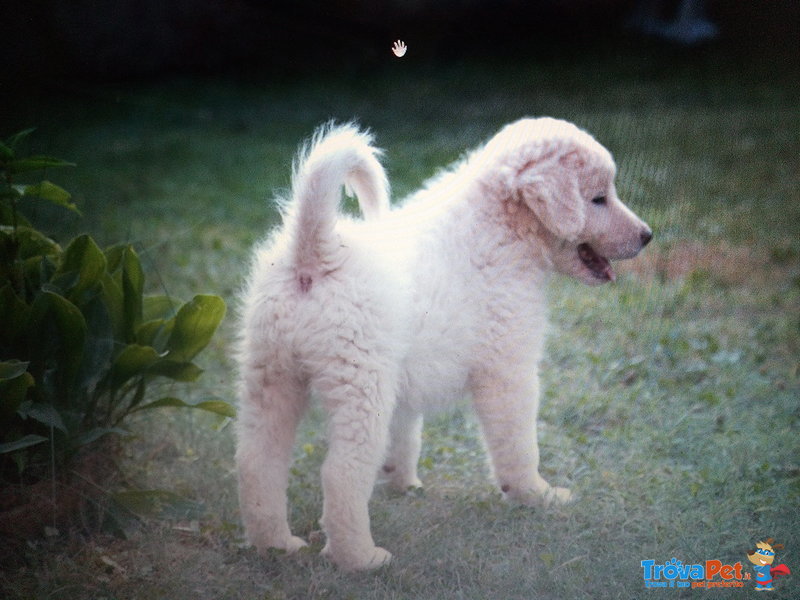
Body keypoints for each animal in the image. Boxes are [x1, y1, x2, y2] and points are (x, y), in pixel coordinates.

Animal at [234, 118, 652, 572]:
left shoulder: (403, 380)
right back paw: (360, 557)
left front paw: (402, 481)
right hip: (361, 386)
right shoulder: (509, 370)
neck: (503, 228)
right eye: (598, 198)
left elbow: (406, 434)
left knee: (257, 463)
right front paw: (537, 495)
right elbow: (519, 445)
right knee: (341, 473)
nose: (648, 236)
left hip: (271, 375)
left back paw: (275, 545)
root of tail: (315, 254)